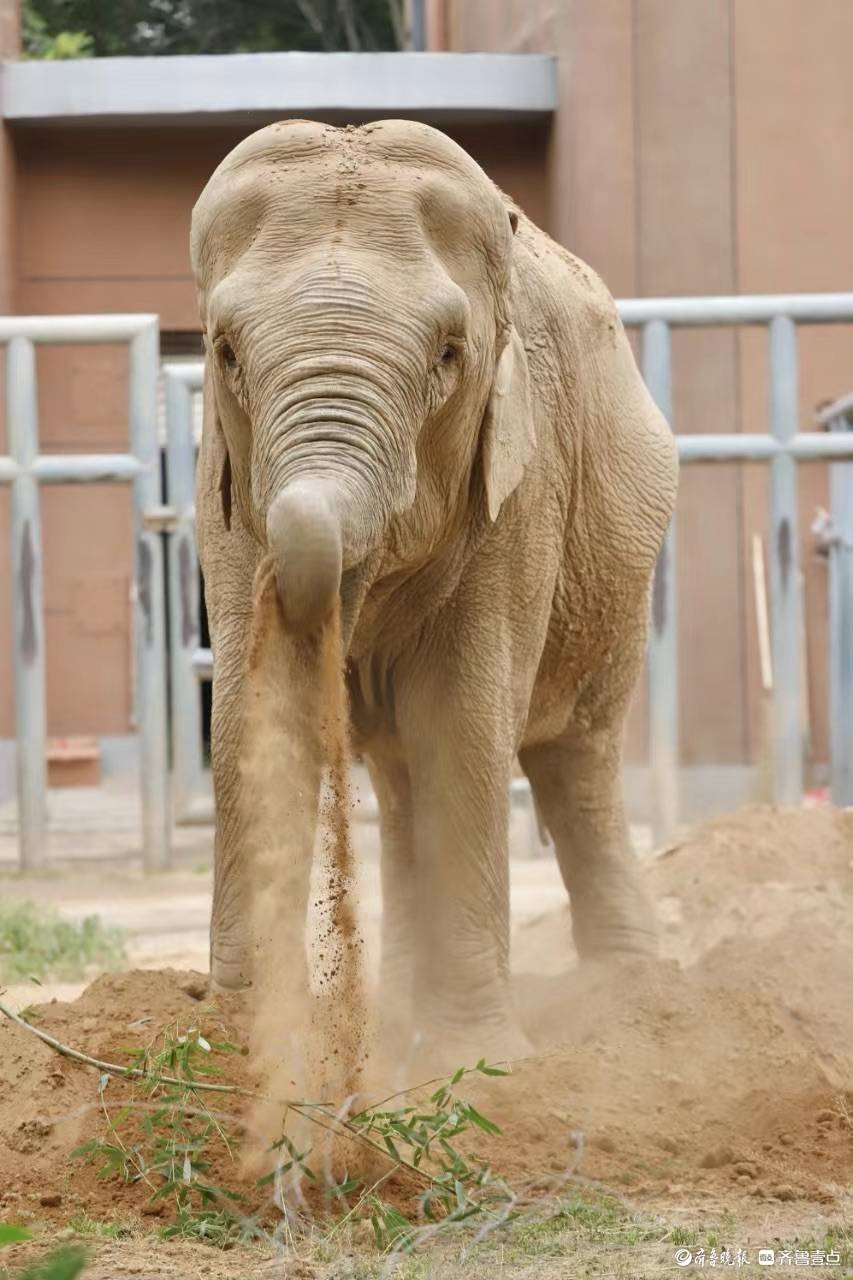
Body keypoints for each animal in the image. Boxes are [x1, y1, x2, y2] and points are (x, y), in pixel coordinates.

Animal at [191, 118, 678, 1065]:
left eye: (449, 357)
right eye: (225, 352)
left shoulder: (520, 488)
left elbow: (459, 719)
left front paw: (480, 1062)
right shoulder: (220, 494)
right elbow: (252, 715)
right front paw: (238, 1043)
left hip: (614, 573)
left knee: (576, 761)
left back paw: (630, 1007)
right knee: (400, 773)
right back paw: (398, 1017)